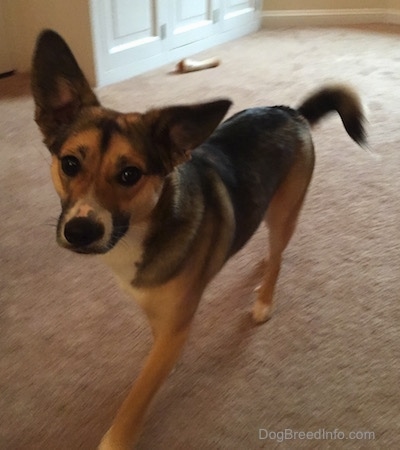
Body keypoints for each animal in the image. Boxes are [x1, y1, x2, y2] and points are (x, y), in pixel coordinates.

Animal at [31, 29, 366, 448]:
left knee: (279, 254)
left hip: (286, 209)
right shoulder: (161, 317)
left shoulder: (176, 324)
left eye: (129, 174)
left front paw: (119, 436)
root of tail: (289, 111)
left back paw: (264, 299)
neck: (143, 229)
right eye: (70, 163)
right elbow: (156, 355)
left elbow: (139, 393)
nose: (80, 231)